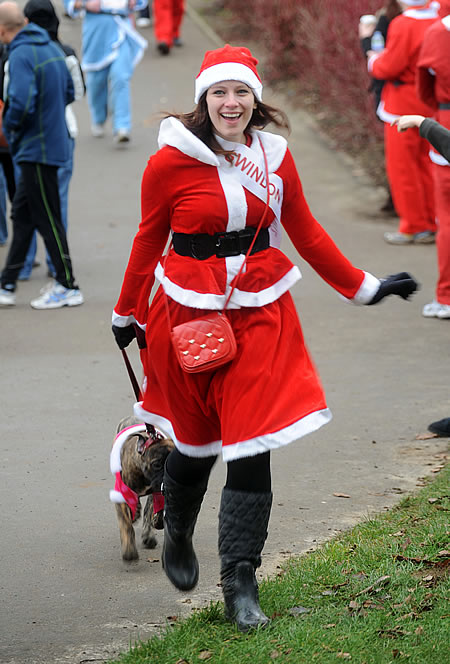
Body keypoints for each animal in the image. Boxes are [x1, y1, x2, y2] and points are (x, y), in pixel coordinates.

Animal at [112, 416, 174, 560]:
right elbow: (126, 524)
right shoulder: (121, 496)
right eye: (157, 464)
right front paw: (129, 551)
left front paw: (157, 521)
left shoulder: (158, 493)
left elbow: (153, 510)